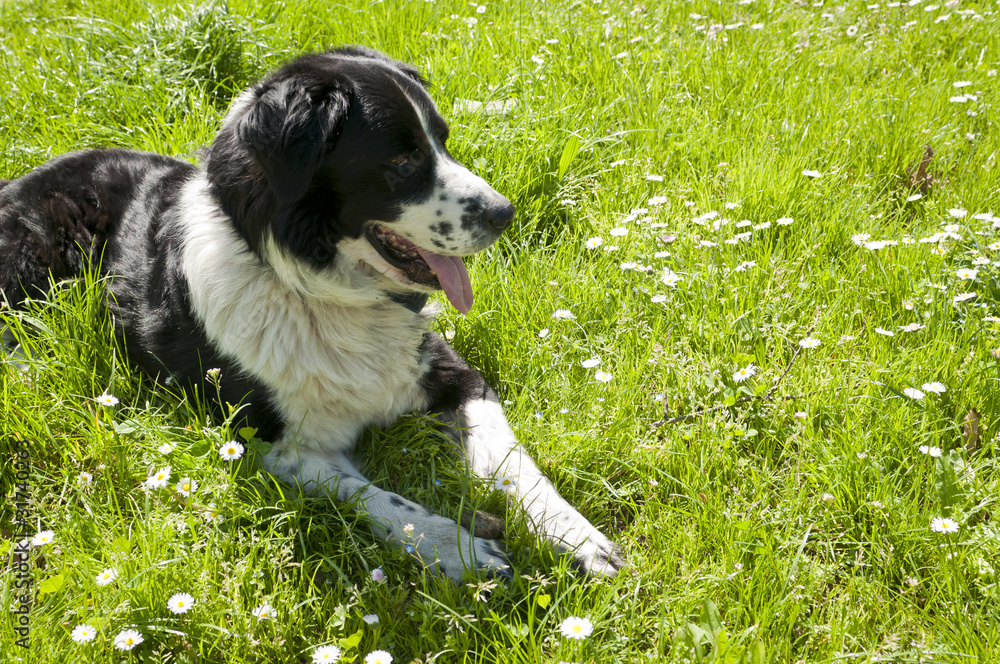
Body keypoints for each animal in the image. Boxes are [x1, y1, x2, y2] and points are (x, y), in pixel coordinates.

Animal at [0, 46, 620, 580]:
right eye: (403, 159)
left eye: (442, 141)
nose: (504, 213)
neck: (320, 290)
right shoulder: (274, 445)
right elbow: (388, 502)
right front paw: (462, 551)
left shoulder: (452, 371)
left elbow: (513, 461)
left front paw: (577, 535)